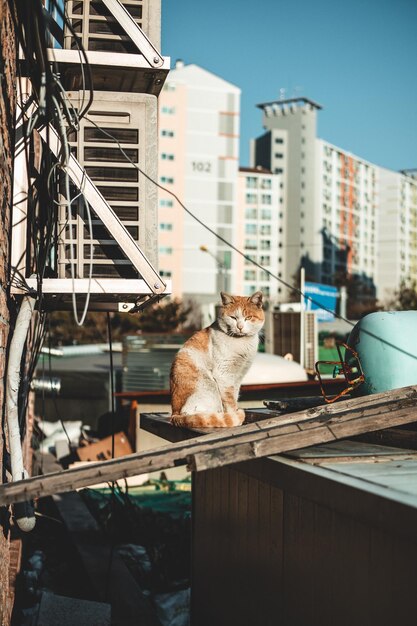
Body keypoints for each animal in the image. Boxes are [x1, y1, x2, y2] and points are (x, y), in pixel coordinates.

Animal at [169, 290, 264, 426]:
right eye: (233, 318)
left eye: (248, 318)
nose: (240, 327)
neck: (242, 344)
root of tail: (174, 414)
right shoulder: (224, 375)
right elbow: (230, 401)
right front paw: (234, 416)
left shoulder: (237, 378)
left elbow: (234, 396)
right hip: (210, 387)